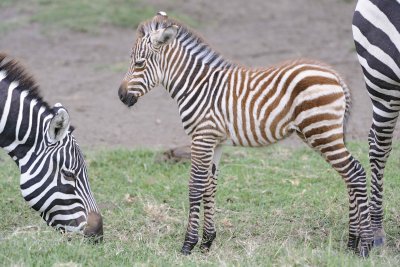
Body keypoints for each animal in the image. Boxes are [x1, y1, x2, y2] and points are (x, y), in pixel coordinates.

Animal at [118, 12, 372, 258]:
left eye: (139, 63)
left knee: (356, 173)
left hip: (321, 131)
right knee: (349, 176)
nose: (120, 96)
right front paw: (207, 242)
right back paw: (352, 243)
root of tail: (336, 76)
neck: (197, 86)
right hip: (327, 133)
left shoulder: (202, 137)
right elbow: (210, 185)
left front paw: (188, 245)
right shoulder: (215, 141)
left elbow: (196, 186)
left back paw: (365, 246)